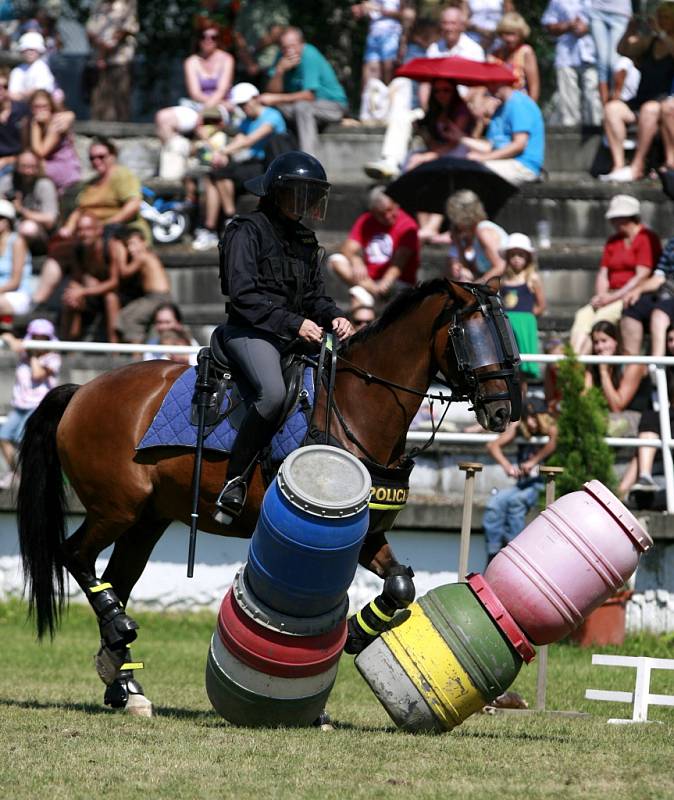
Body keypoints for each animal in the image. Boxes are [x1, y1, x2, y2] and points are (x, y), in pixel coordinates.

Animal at [17, 276, 520, 712]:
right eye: (471, 336)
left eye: (508, 336)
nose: (503, 411)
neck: (356, 406)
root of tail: (82, 390)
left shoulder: (369, 535)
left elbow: (400, 585)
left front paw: (357, 636)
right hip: (115, 509)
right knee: (74, 554)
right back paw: (120, 636)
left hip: (146, 521)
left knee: (115, 581)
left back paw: (124, 682)